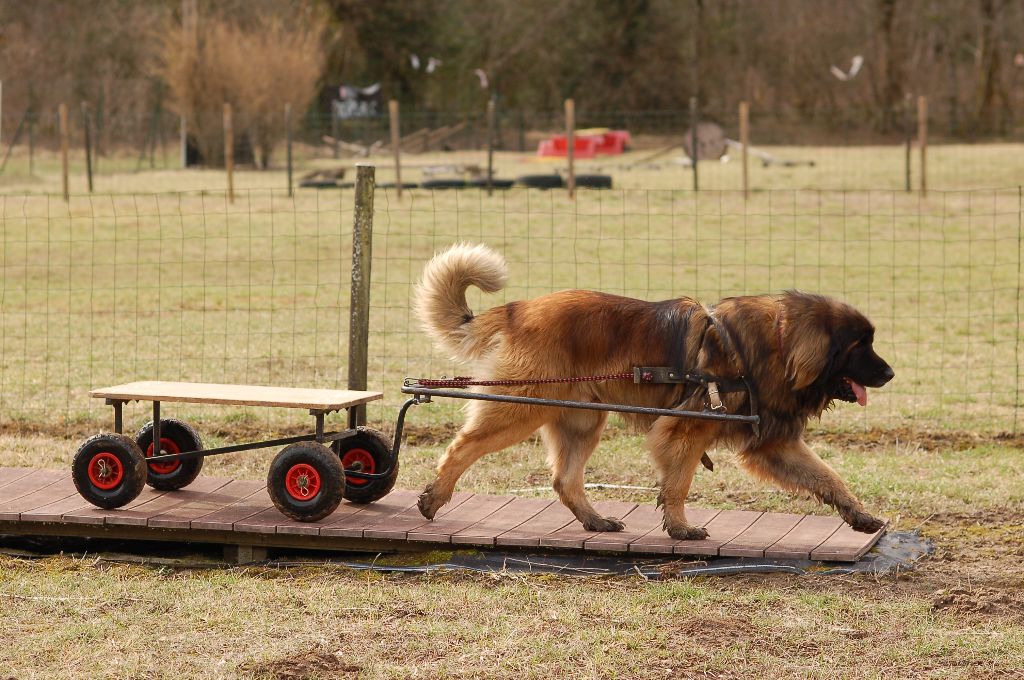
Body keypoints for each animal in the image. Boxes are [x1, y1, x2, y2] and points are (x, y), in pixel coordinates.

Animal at [411, 242, 892, 536]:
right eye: (860, 346)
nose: (890, 374)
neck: (774, 344)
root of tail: (518, 308)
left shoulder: (775, 444)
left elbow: (829, 477)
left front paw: (860, 515)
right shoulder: (685, 430)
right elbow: (678, 484)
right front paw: (680, 528)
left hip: (582, 421)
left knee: (565, 479)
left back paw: (596, 520)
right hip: (521, 406)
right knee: (463, 447)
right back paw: (434, 497)